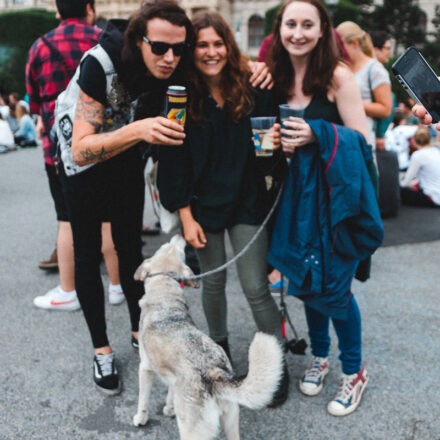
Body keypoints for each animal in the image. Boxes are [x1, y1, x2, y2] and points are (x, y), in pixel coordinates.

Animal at [132, 235, 284, 440]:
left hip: (191, 433)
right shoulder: (173, 376)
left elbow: (143, 400)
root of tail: (213, 372)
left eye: (166, 246)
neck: (165, 294)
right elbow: (170, 394)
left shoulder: (145, 368)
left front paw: (140, 419)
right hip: (231, 421)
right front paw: (170, 409)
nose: (180, 235)